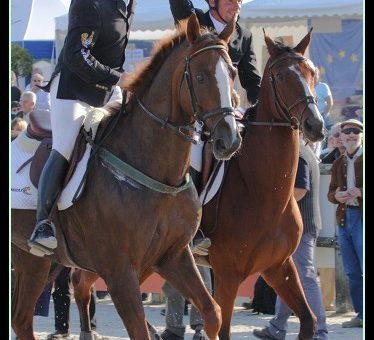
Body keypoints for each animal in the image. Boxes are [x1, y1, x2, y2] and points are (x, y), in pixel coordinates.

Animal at [11, 13, 243, 340]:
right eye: (200, 77)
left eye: (232, 73)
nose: (229, 141)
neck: (156, 172)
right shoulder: (119, 271)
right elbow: (139, 327)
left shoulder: (173, 255)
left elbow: (213, 313)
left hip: (33, 258)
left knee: (21, 319)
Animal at [199, 29, 324, 340]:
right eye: (280, 76)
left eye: (312, 72)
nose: (316, 125)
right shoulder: (227, 275)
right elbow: (222, 329)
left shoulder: (279, 267)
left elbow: (308, 320)